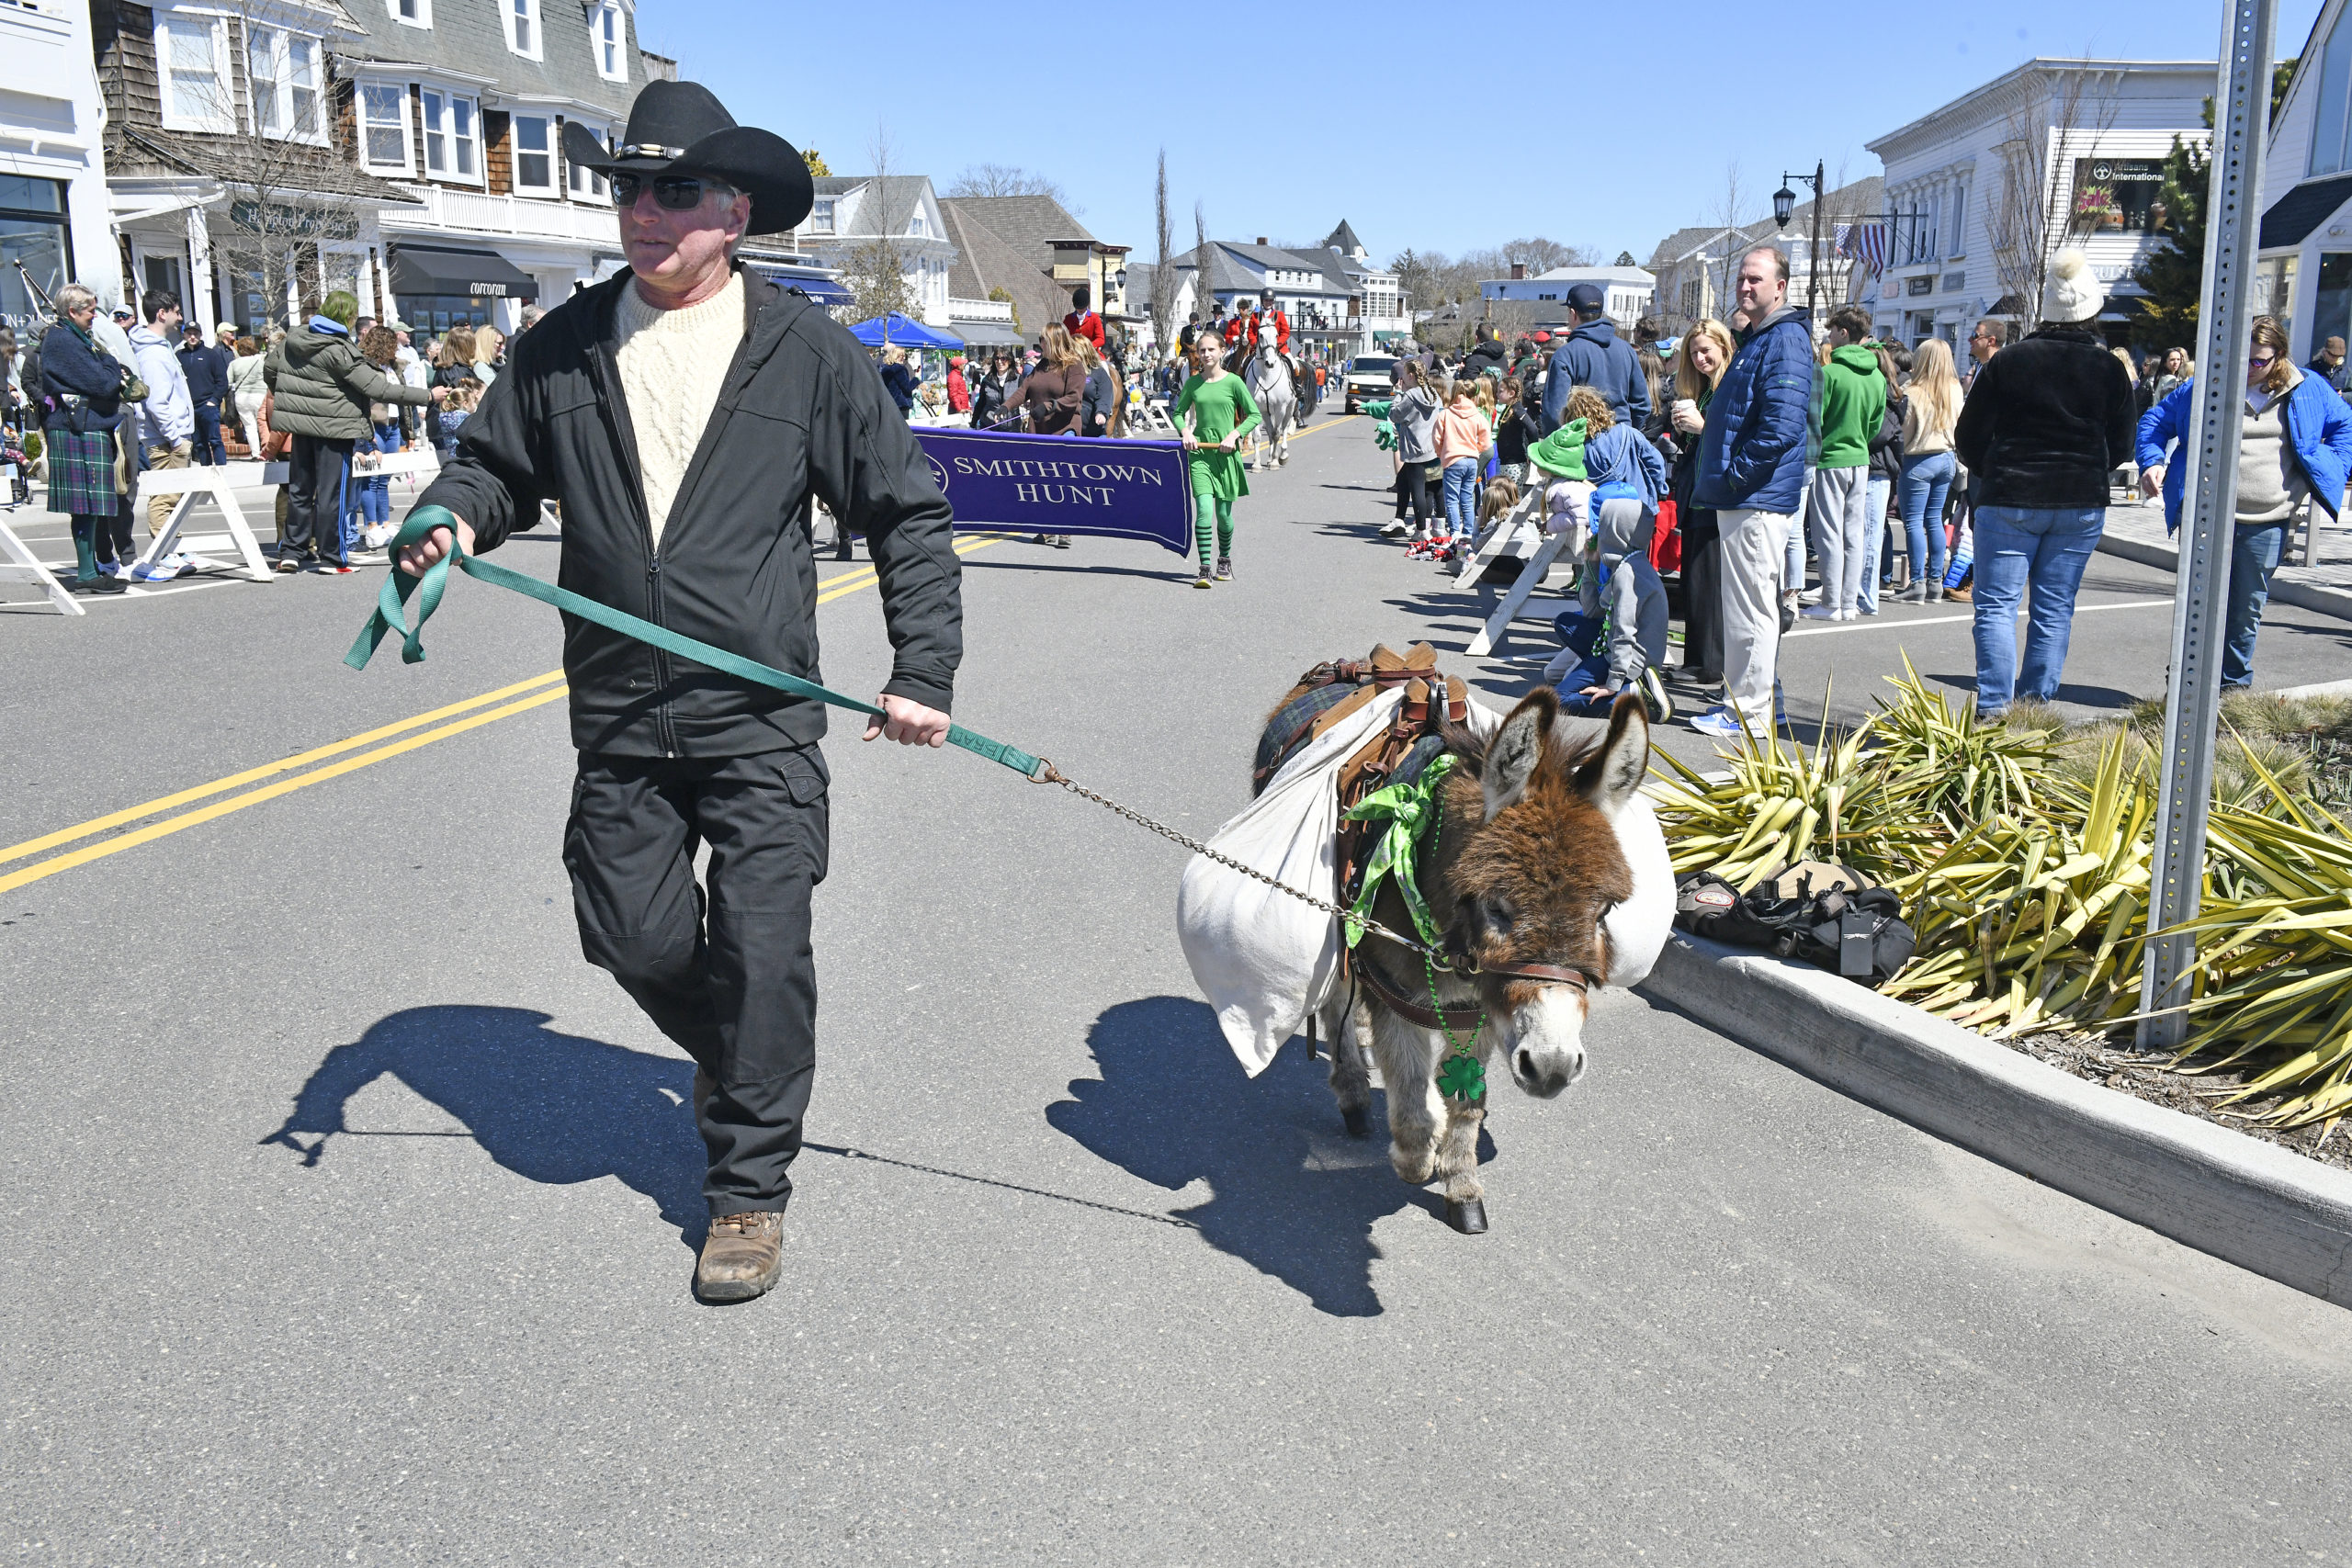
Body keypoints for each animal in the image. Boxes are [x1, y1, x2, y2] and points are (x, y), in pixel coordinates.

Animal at [1241, 329, 1298, 472]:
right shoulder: (1256, 408)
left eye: (1276, 335)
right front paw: (1256, 464)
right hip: (1267, 412)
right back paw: (1269, 457)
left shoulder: (1280, 408)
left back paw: (1282, 455)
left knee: (1284, 428)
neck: (1266, 374)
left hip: (1289, 408)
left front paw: (1275, 462)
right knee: (1269, 430)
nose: (1270, 362)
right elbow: (1258, 436)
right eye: (1260, 335)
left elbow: (1277, 433)